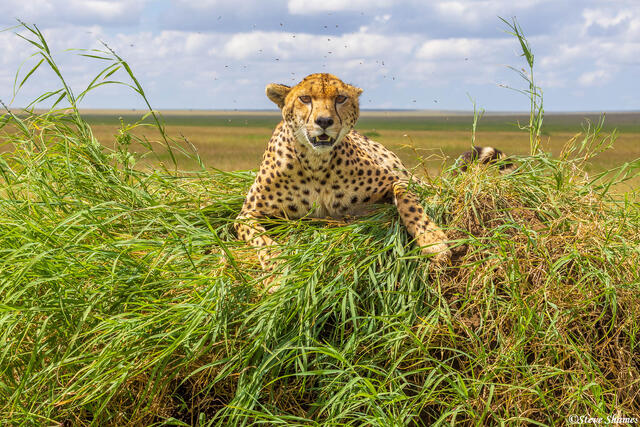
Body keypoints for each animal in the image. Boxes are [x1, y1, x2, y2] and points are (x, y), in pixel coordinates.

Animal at [234, 73, 451, 278]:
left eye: (340, 98)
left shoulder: (397, 180)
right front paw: (276, 272)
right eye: (305, 98)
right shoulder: (247, 214)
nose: (324, 121)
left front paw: (433, 240)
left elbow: (409, 203)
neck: (316, 163)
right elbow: (261, 239)